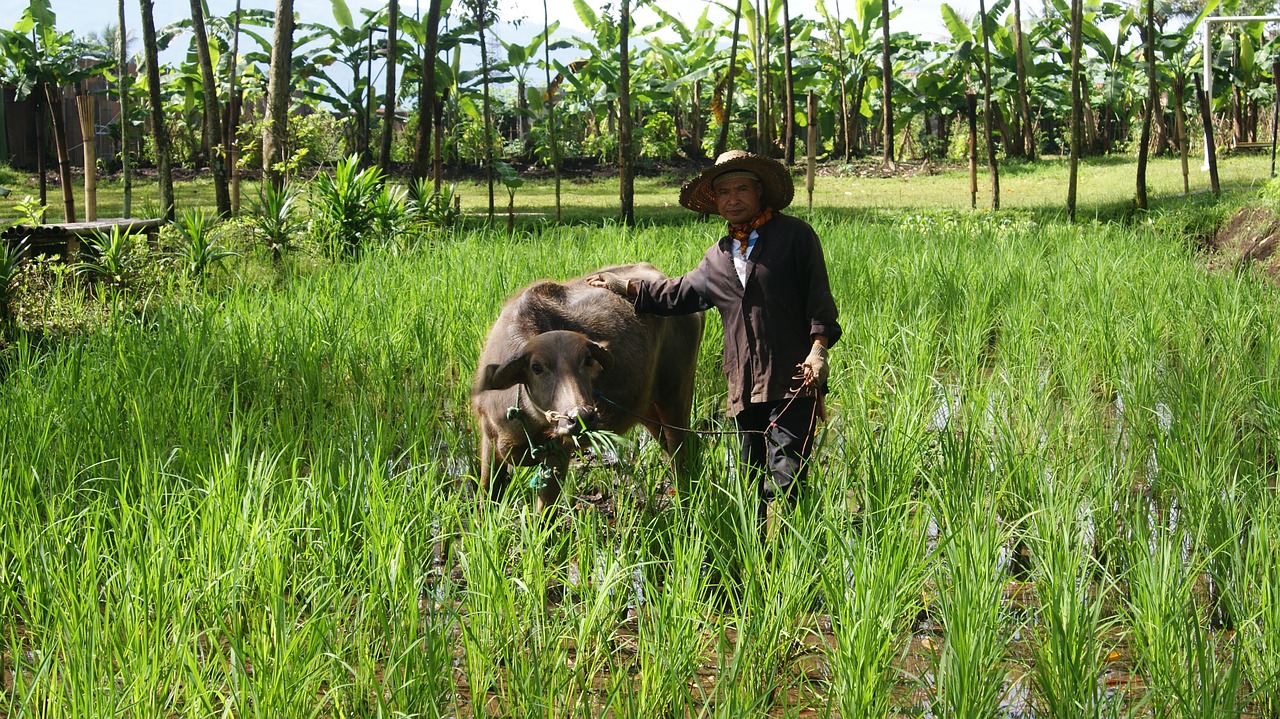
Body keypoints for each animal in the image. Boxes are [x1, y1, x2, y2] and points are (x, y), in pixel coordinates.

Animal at [476, 259, 706, 506]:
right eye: (537, 367)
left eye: (587, 361)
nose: (581, 418)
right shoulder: (488, 436)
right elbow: (487, 491)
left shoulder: (558, 453)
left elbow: (545, 511)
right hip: (647, 407)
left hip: (676, 395)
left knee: (680, 450)